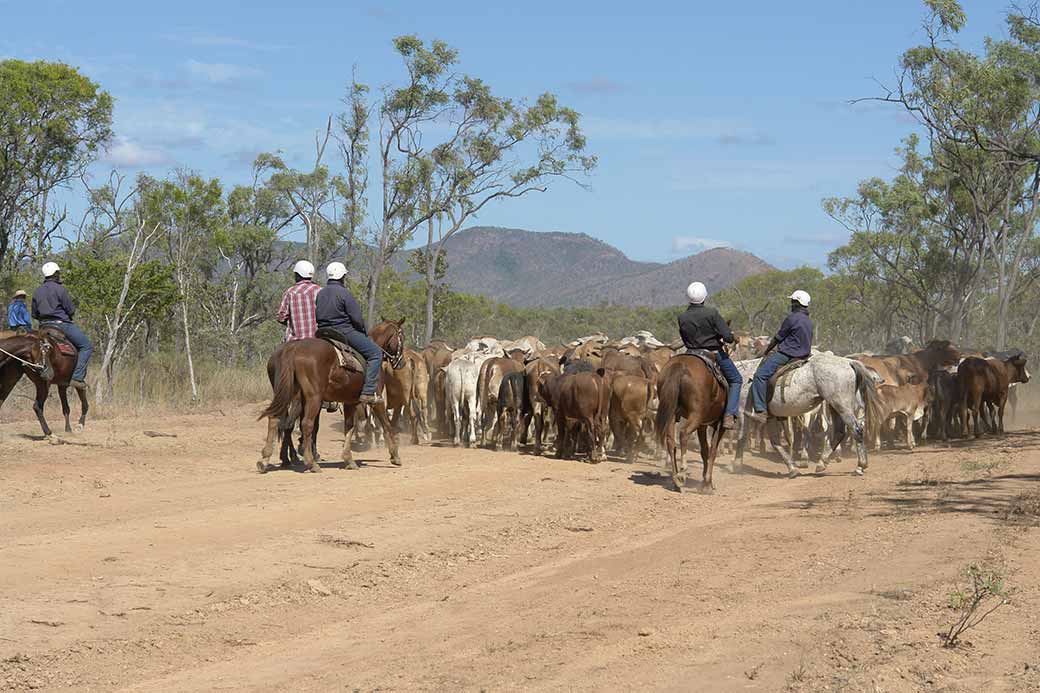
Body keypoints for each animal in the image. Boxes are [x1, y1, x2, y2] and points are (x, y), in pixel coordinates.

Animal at [255, 316, 405, 470]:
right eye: (402, 337)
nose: (401, 363)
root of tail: (293, 349)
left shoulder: (350, 401)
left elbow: (349, 427)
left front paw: (348, 459)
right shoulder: (377, 399)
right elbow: (386, 425)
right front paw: (395, 456)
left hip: (288, 396)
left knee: (277, 420)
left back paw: (267, 459)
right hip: (312, 398)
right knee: (304, 424)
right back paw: (310, 462)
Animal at [653, 355, 728, 491]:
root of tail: (680, 365)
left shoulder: (702, 426)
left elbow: (705, 451)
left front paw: (705, 481)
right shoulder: (719, 425)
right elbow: (713, 451)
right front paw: (707, 484)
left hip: (672, 414)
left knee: (671, 441)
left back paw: (676, 480)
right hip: (695, 415)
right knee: (684, 433)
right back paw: (682, 472)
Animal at [732, 351, 877, 474]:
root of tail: (848, 362)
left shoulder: (743, 411)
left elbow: (741, 437)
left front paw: (737, 465)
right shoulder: (771, 417)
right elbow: (775, 442)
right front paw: (791, 468)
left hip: (842, 406)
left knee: (856, 429)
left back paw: (860, 465)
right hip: (835, 406)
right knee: (840, 432)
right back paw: (822, 462)